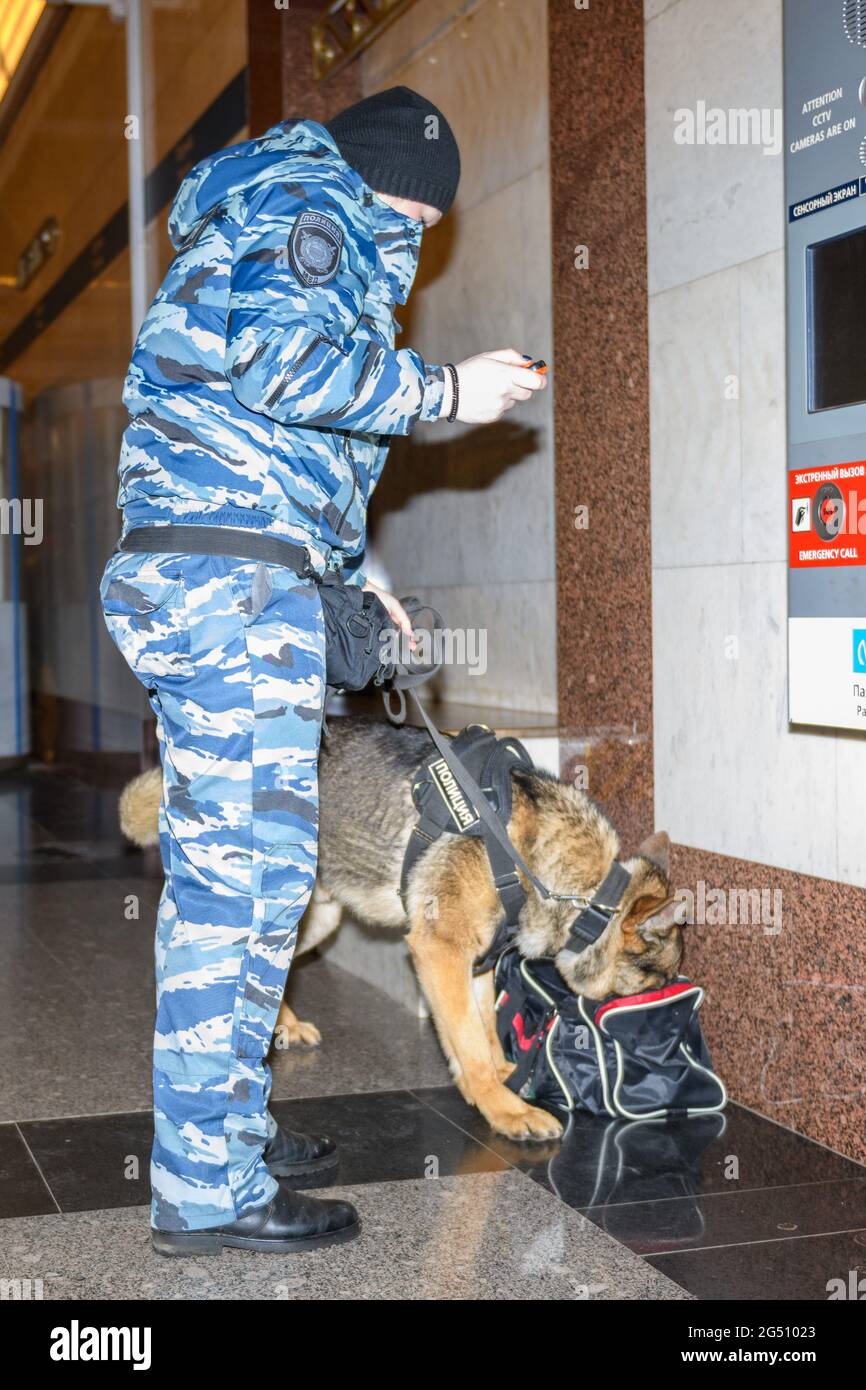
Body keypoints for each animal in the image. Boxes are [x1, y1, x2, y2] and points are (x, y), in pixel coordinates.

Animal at [120, 717, 683, 1139]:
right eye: (658, 978)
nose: (669, 1023)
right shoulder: (439, 951)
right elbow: (469, 1041)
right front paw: (502, 1107)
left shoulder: (474, 962)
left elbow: (481, 1032)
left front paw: (500, 1078)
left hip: (317, 918)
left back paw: (282, 1026)